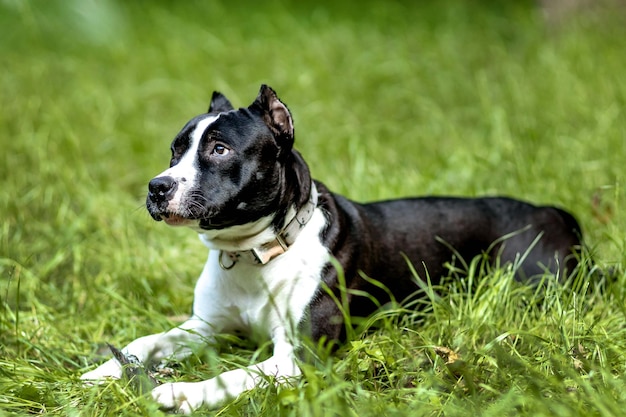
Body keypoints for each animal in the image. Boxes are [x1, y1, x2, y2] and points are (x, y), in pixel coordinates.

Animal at [81, 83, 580, 410]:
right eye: (174, 150)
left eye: (219, 150)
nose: (157, 186)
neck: (255, 252)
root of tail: (552, 212)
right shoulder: (204, 327)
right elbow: (149, 341)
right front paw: (107, 370)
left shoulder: (297, 356)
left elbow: (235, 375)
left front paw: (182, 391)